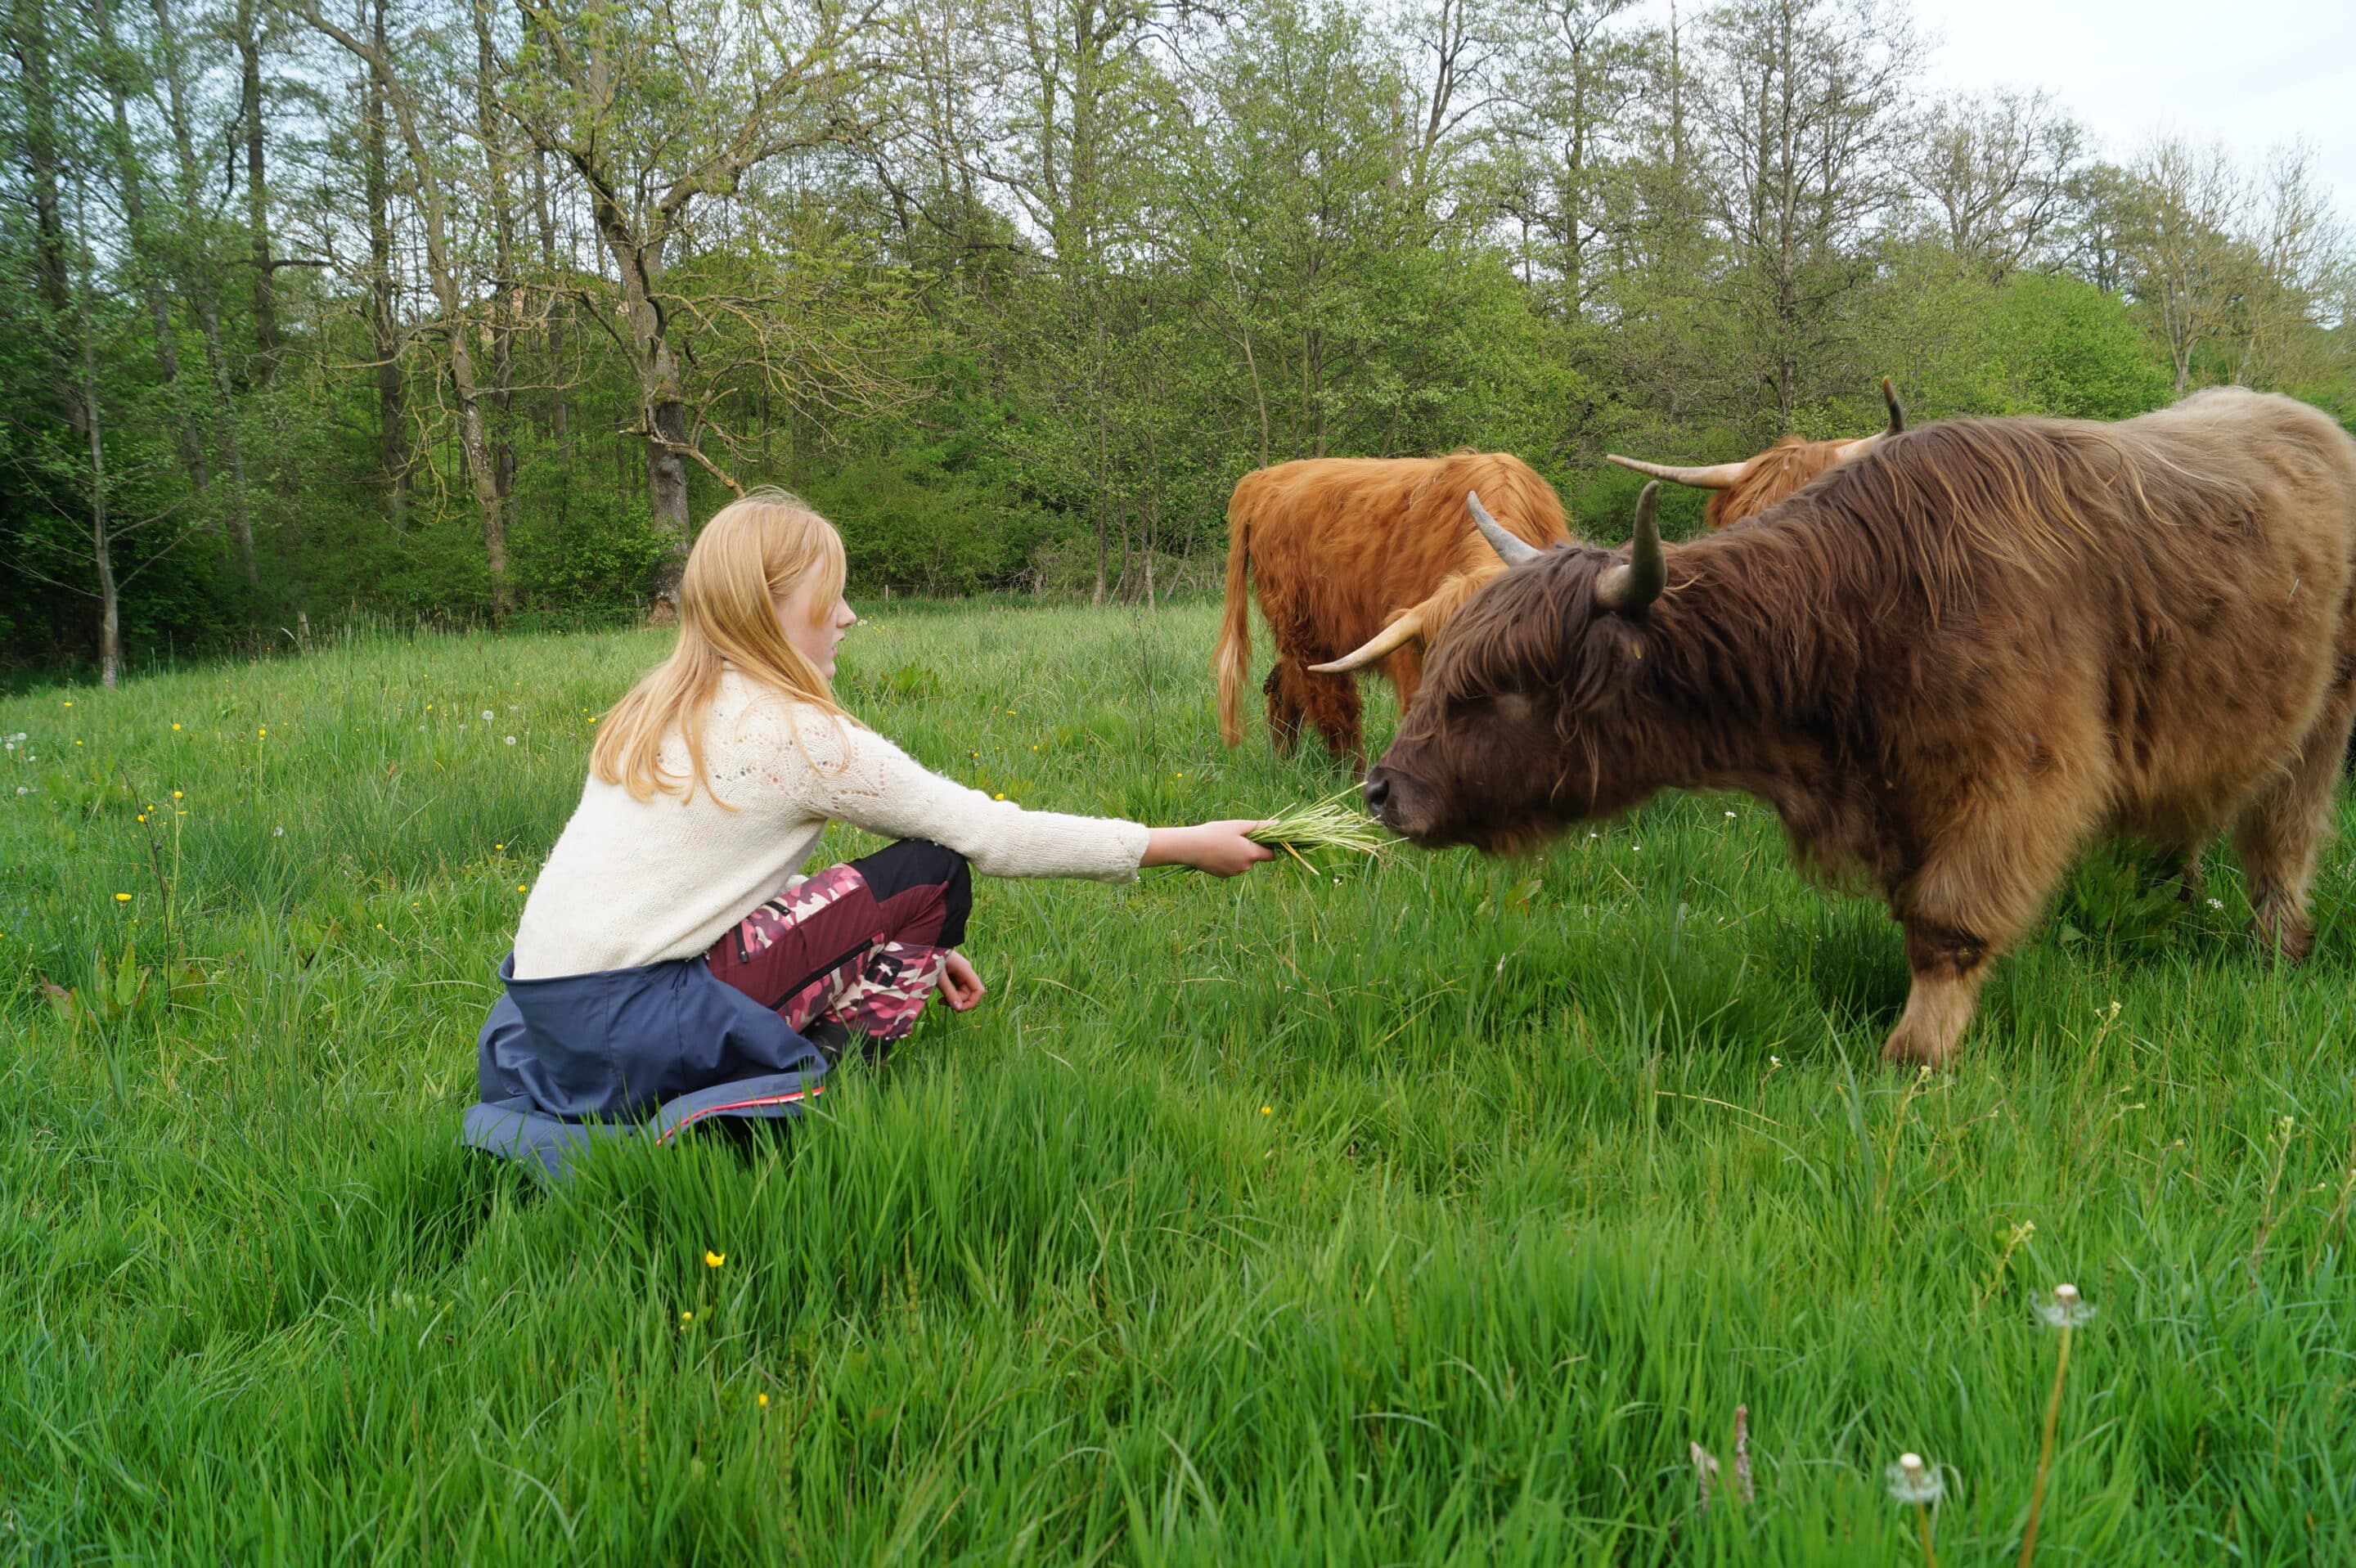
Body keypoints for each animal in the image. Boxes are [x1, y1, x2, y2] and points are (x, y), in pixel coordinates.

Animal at [1356, 388, 2356, 1064]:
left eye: (1508, 687)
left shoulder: (2020, 781)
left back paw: (2278, 951)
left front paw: (1914, 1056)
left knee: (2282, 840)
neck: (1867, 607)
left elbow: (1947, 923)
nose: (1382, 788)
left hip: (2324, 718)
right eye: (1442, 669)